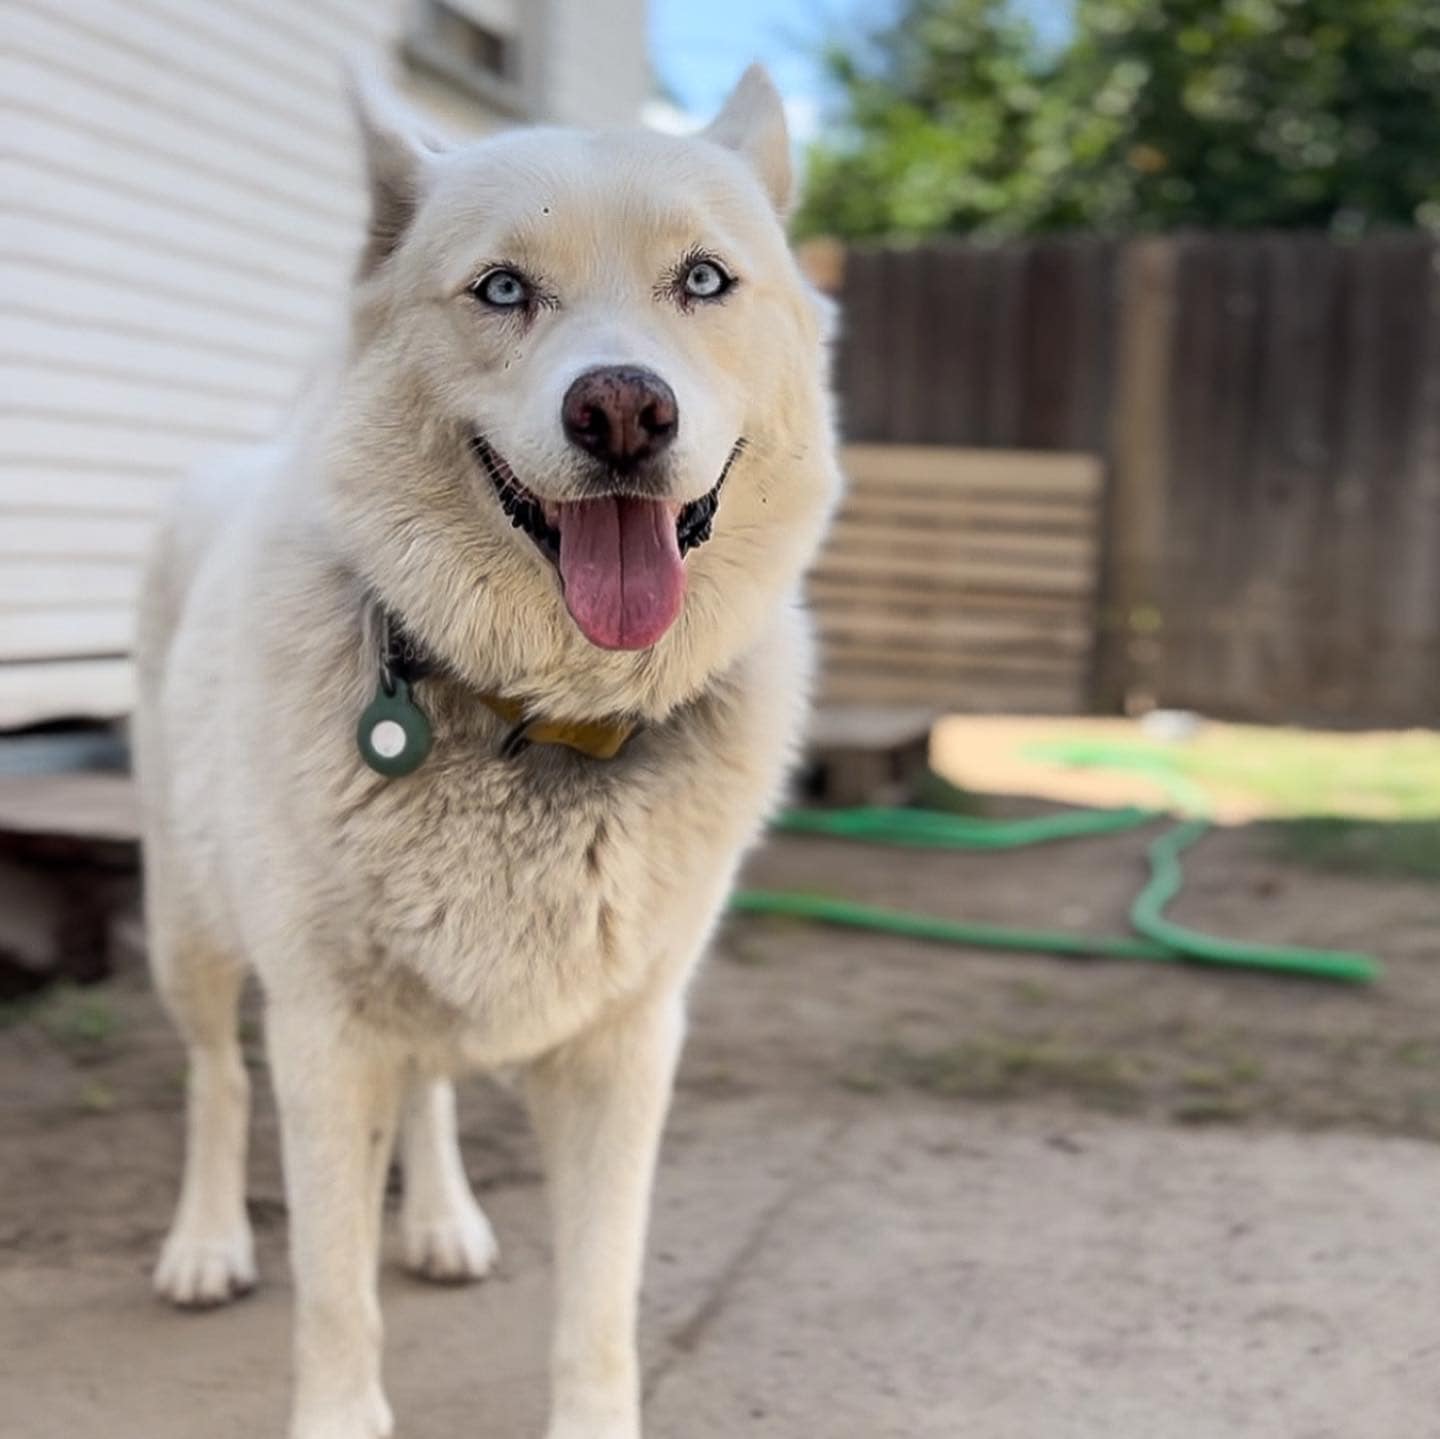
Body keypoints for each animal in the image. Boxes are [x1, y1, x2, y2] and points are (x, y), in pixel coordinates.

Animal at [133, 61, 840, 1434]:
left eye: (705, 279)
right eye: (504, 289)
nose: (622, 409)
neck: (540, 716)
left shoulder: (626, 1049)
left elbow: (598, 1309)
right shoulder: (322, 1030)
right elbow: (333, 1290)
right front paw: (338, 1410)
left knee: (432, 1084)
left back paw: (445, 1221)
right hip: (186, 922)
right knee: (211, 1079)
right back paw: (205, 1244)